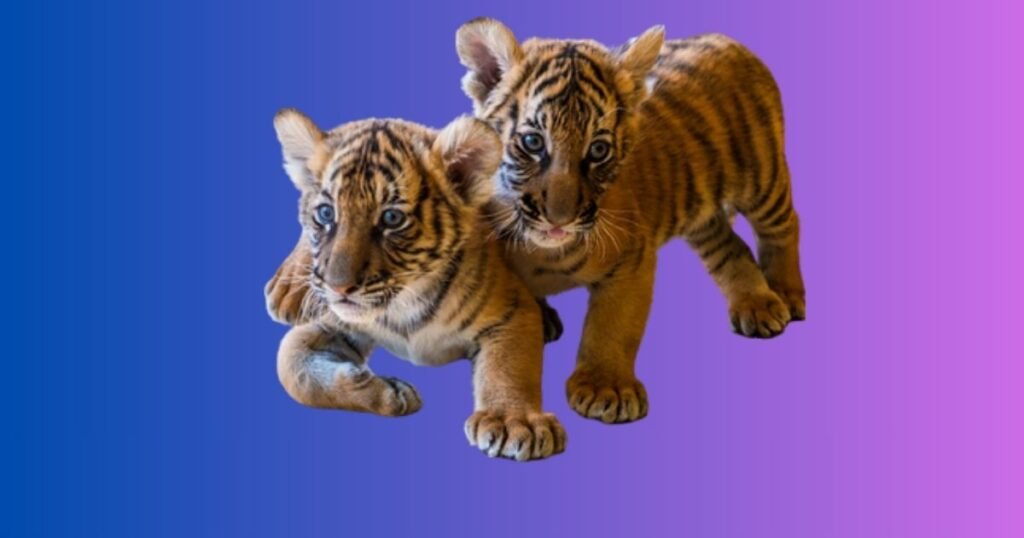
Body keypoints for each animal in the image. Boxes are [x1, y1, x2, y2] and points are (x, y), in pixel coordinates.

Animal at [267, 18, 806, 425]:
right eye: (531, 142)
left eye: (599, 150)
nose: (559, 218)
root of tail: (723, 36)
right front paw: (295, 286)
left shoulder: (632, 262)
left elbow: (614, 324)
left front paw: (605, 387)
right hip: (701, 211)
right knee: (727, 246)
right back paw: (755, 303)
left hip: (763, 178)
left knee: (785, 225)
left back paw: (785, 294)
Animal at [268, 108, 566, 461]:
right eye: (326, 214)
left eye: (391, 219)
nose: (337, 287)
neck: (404, 303)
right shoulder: (334, 323)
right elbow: (290, 365)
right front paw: (385, 392)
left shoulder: (512, 311)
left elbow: (508, 367)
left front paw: (515, 422)